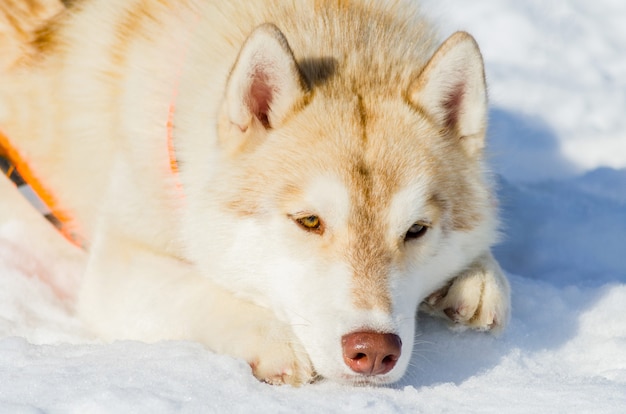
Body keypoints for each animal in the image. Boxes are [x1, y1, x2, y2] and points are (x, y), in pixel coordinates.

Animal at [0, 0, 508, 384]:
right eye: (309, 221)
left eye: (416, 230)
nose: (374, 350)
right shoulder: (116, 267)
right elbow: (195, 286)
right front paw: (272, 336)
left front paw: (478, 276)